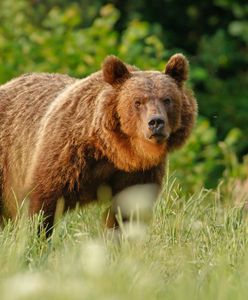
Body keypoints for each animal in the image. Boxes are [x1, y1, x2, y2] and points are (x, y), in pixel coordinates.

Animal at [0, 54, 198, 231]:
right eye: (137, 101)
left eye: (167, 99)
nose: (156, 122)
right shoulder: (66, 154)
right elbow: (43, 201)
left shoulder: (140, 172)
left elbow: (129, 210)